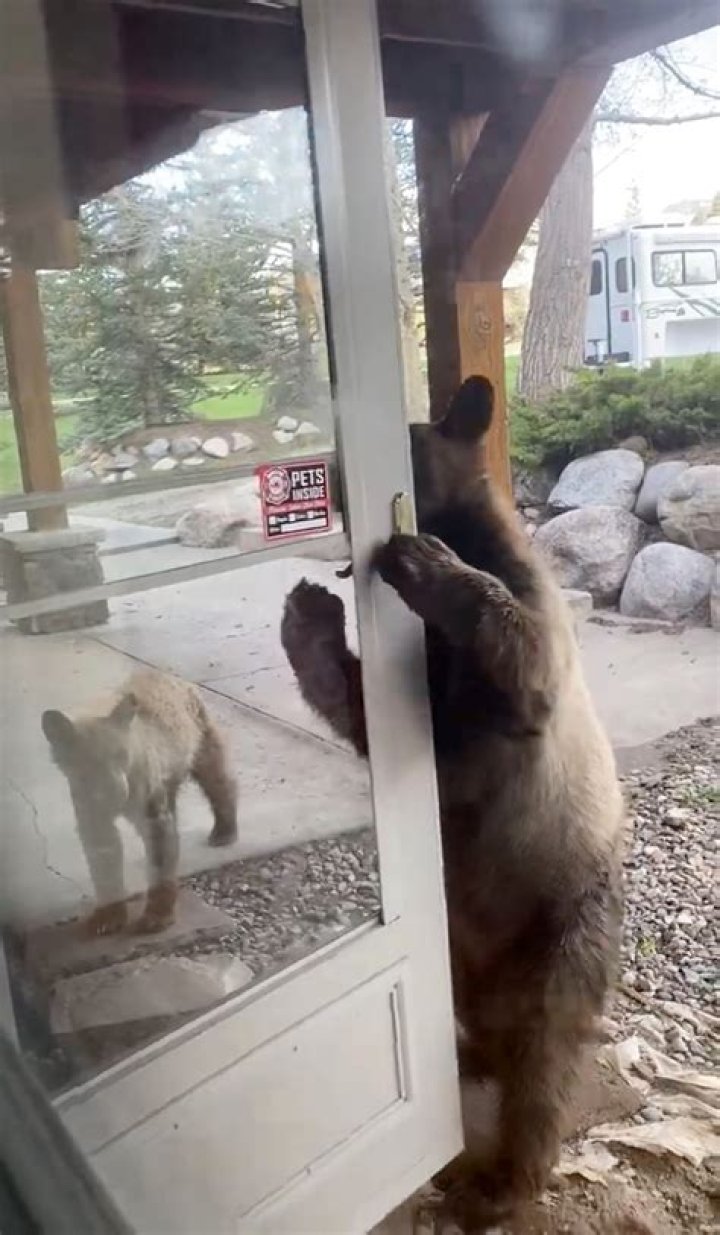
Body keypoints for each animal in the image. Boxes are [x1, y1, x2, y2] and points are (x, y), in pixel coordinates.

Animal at [41, 668, 237, 936]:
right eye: (86, 762)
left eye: (121, 754)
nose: (116, 792)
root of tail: (168, 673)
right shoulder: (92, 815)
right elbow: (104, 863)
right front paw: (108, 917)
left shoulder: (151, 813)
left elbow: (160, 862)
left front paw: (157, 917)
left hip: (202, 745)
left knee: (220, 783)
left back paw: (224, 831)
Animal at [280, 375, 624, 1226]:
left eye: (401, 439)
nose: (330, 465)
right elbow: (373, 717)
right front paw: (309, 619)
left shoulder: (532, 666)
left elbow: (520, 653)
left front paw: (425, 561)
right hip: (459, 946)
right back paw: (465, 1052)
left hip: (565, 928)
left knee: (544, 1061)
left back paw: (500, 1181)